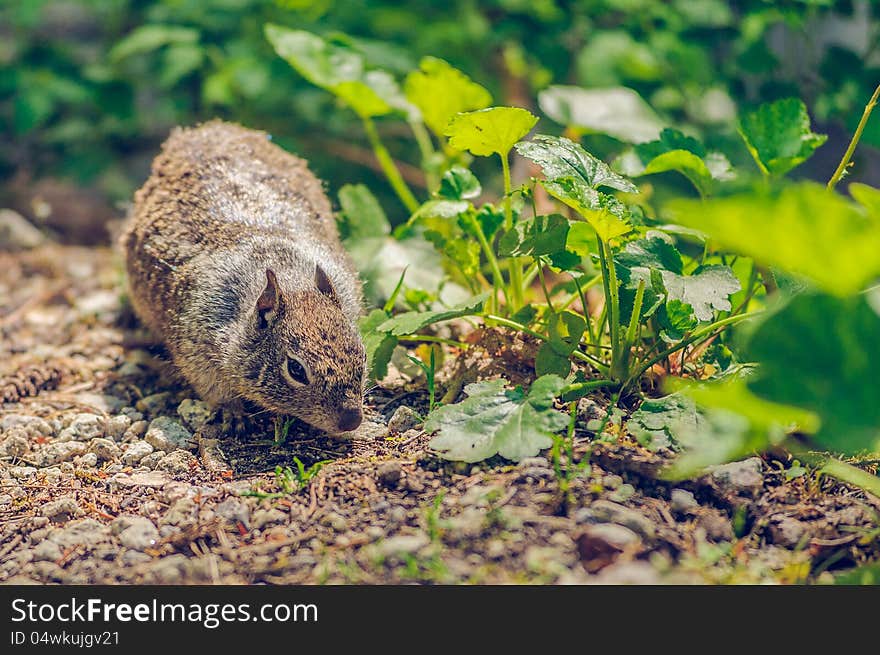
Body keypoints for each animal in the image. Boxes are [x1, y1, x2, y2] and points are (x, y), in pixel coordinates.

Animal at [120, 120, 364, 436]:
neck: (292, 280)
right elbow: (216, 390)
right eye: (296, 369)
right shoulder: (198, 353)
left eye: (361, 353)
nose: (352, 420)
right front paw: (232, 414)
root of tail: (205, 129)